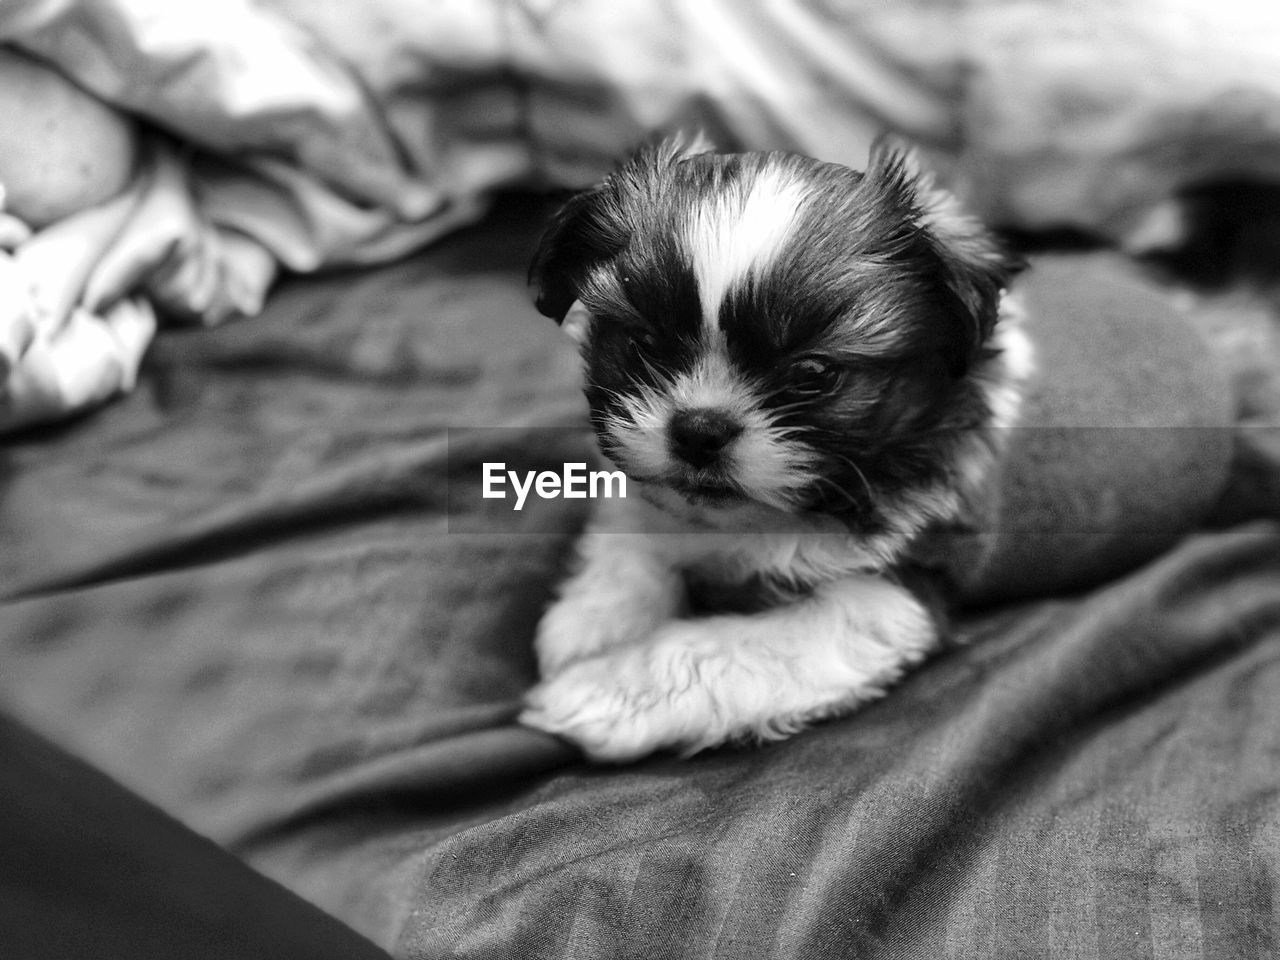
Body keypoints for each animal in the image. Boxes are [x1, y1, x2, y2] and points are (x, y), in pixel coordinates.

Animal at [519, 136, 1029, 768]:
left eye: (812, 373)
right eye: (642, 344)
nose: (699, 428)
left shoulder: (890, 598)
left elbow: (715, 653)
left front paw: (599, 689)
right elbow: (636, 528)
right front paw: (594, 619)